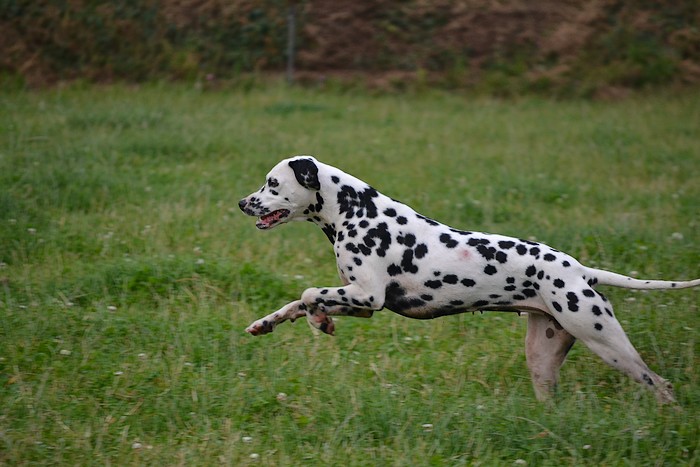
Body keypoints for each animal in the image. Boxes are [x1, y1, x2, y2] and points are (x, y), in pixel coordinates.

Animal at [238, 155, 696, 404]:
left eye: (272, 183)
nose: (243, 202)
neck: (356, 211)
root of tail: (580, 270)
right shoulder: (361, 302)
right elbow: (297, 302)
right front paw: (273, 323)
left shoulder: (368, 297)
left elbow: (308, 293)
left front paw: (321, 320)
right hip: (542, 358)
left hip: (606, 341)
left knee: (661, 384)